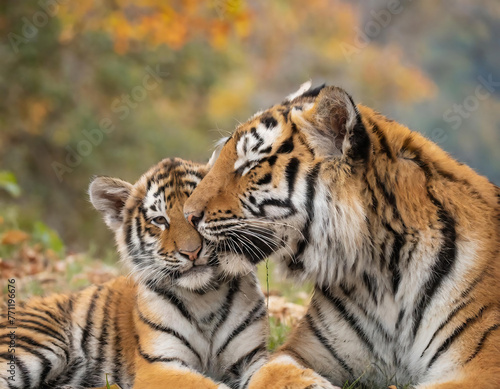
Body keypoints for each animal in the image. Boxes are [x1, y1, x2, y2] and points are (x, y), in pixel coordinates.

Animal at [184, 82, 500, 388]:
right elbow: (274, 375)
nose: (188, 215)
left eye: (250, 165)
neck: (380, 276)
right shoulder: (297, 351)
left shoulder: (481, 366)